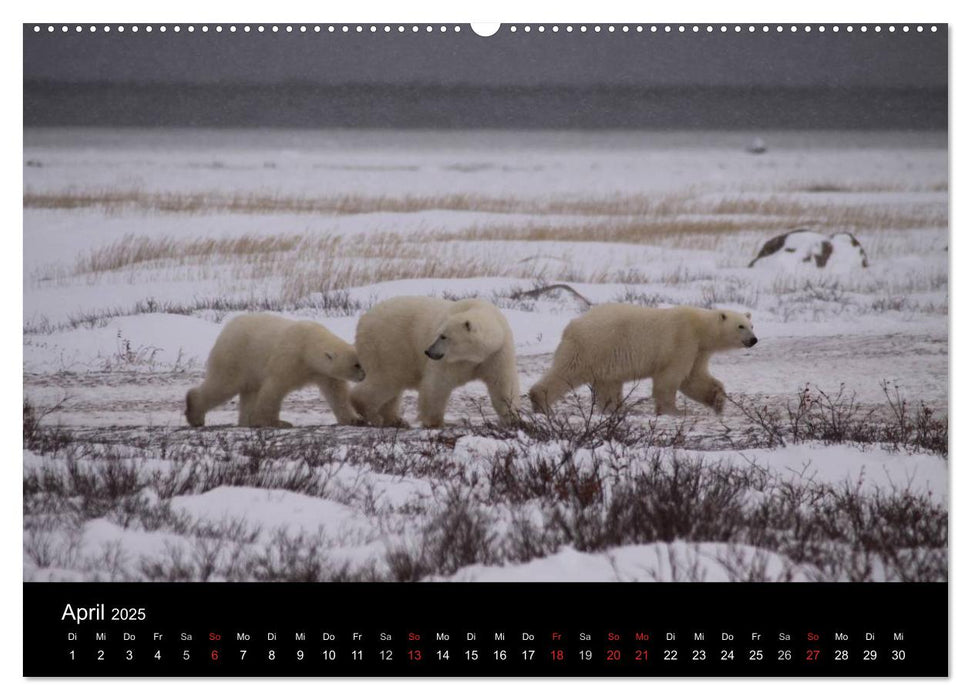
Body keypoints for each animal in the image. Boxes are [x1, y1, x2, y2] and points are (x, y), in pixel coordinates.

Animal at [185, 316, 364, 426]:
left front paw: (355, 419)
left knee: (248, 391)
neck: (307, 346)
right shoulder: (289, 359)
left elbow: (336, 392)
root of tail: (226, 329)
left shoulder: (322, 372)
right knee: (223, 384)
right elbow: (274, 388)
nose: (364, 376)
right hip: (236, 356)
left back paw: (247, 421)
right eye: (356, 365)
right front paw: (276, 423)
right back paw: (195, 414)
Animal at [352, 296, 520, 426]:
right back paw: (370, 413)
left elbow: (502, 384)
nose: (428, 351)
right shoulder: (451, 361)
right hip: (388, 344)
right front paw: (434, 422)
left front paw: (513, 419)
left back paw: (395, 420)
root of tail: (363, 319)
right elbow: (438, 384)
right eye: (439, 333)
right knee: (387, 378)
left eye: (444, 336)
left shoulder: (496, 353)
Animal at [528, 304, 756, 416]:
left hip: (606, 358)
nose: (753, 340)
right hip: (592, 347)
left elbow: (694, 379)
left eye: (751, 325)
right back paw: (540, 401)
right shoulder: (682, 340)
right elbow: (671, 379)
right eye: (740, 326)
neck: (700, 327)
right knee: (566, 373)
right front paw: (674, 411)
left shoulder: (698, 350)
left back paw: (615, 410)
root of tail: (571, 325)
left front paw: (718, 401)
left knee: (608, 385)